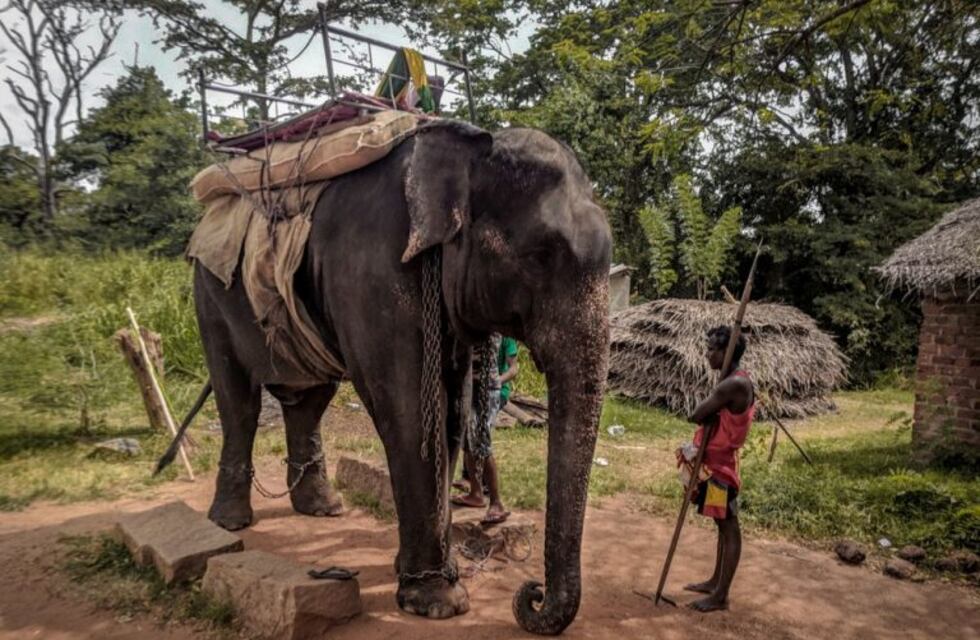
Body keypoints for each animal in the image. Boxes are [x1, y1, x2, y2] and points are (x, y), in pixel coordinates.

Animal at [191, 119, 611, 635]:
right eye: (539, 255)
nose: (531, 594)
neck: (470, 150)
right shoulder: (375, 271)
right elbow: (410, 409)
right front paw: (437, 602)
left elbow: (451, 415)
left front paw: (420, 576)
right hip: (210, 297)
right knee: (238, 399)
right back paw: (230, 523)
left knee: (310, 399)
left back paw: (322, 507)